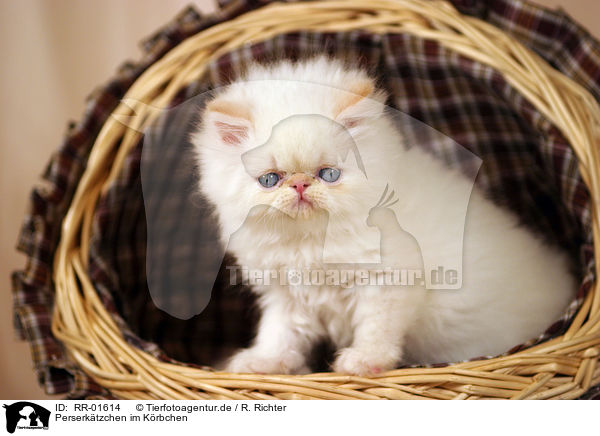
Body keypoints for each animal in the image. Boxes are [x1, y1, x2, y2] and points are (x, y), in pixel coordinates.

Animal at [193, 55, 576, 374]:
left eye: (328, 174)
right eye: (270, 180)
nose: (300, 185)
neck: (312, 241)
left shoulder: (387, 280)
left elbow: (377, 328)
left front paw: (363, 362)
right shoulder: (285, 294)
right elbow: (278, 334)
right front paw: (262, 362)